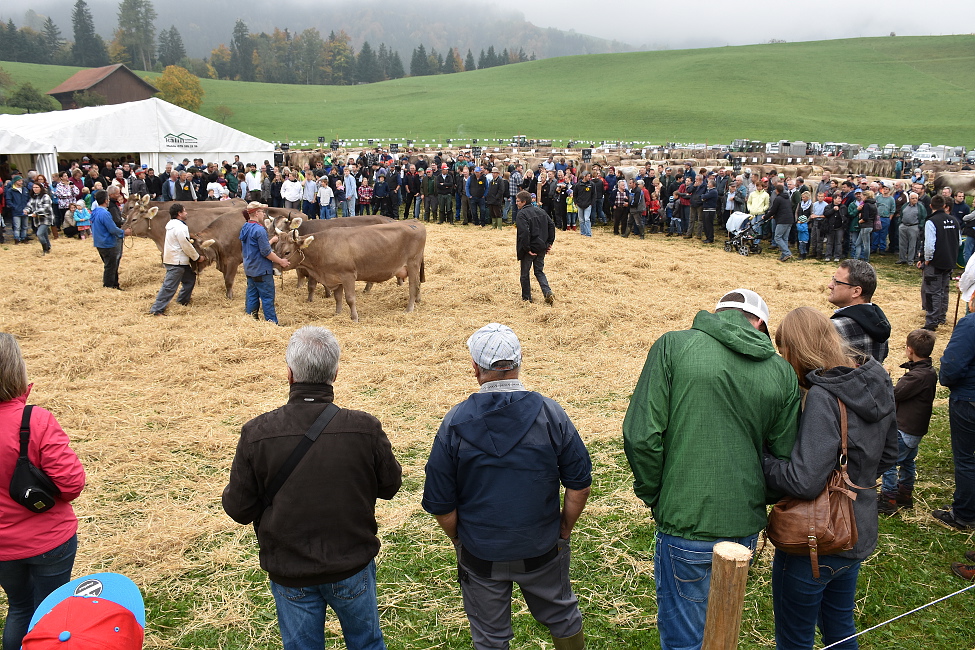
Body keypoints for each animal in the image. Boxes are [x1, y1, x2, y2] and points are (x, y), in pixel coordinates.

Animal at [276, 219, 426, 320]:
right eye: (276, 247)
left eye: (287, 252)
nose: (274, 270)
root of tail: (413, 222)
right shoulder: (335, 277)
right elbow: (338, 298)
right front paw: (337, 313)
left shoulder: (348, 276)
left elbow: (350, 298)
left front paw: (354, 317)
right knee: (418, 284)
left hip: (412, 264)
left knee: (413, 287)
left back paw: (409, 309)